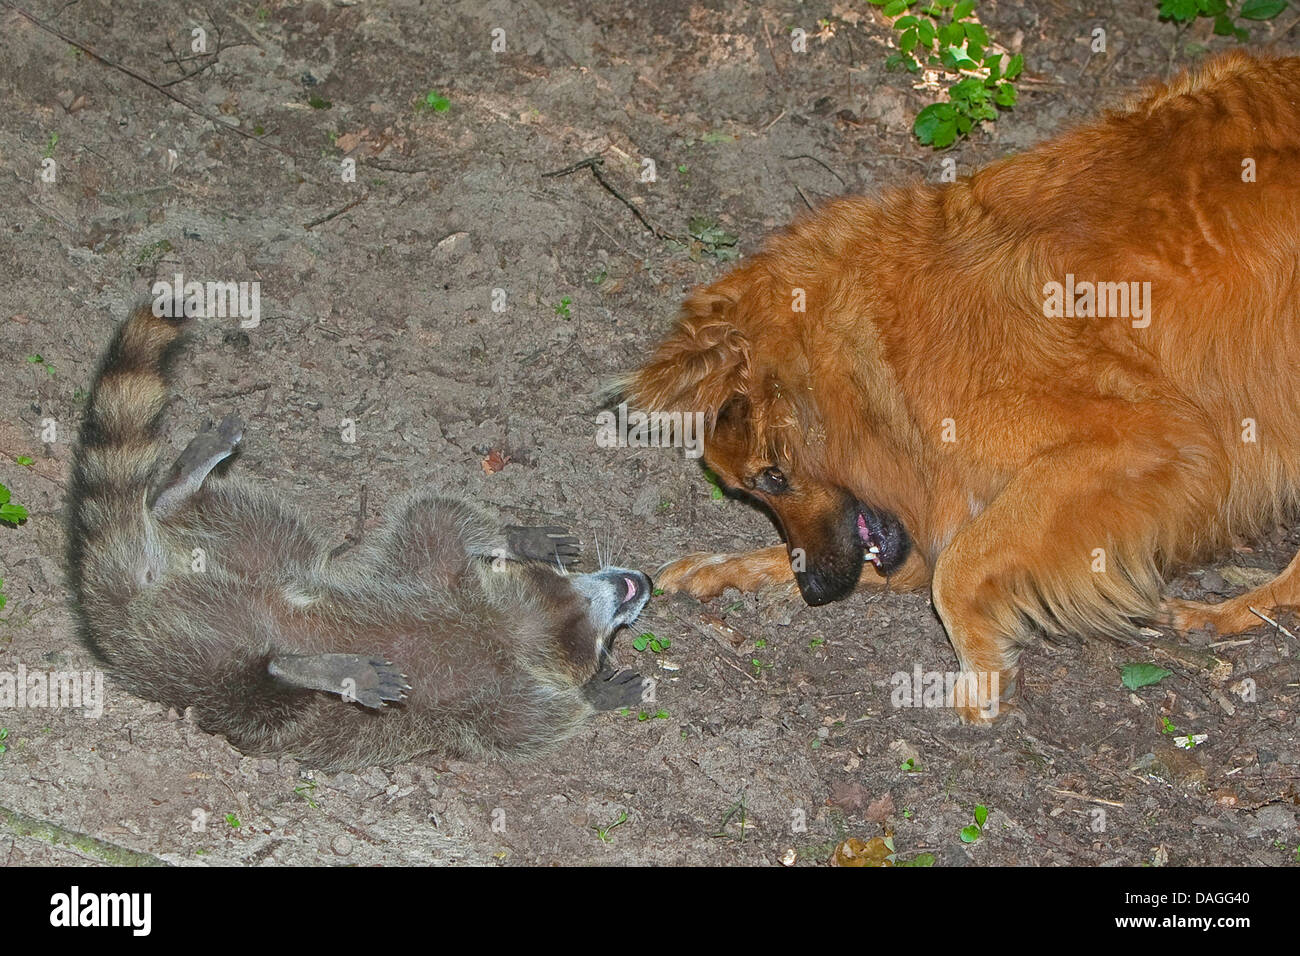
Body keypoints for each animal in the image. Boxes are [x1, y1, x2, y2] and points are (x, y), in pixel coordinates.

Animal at [67, 306, 650, 770]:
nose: (643, 581)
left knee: (271, 538)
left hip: (246, 562)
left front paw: (516, 542)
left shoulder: (437, 580)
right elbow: (529, 727)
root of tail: (133, 607)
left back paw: (177, 491)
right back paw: (307, 668)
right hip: (198, 677)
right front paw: (596, 694)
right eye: (604, 642)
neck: (526, 624)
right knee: (262, 694)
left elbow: (434, 523)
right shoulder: (497, 696)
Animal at [626, 52, 1300, 723]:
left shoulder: (1146, 442)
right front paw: (724, 567)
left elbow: (957, 568)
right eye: (750, 490)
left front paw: (981, 674)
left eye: (772, 476)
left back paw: (1235, 610)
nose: (817, 591)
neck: (886, 355)